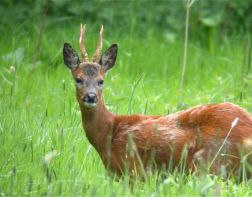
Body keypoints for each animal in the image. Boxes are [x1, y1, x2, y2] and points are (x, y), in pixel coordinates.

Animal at [62, 24, 252, 179]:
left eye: (101, 81)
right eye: (78, 79)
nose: (91, 96)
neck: (109, 134)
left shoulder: (133, 170)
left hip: (212, 163)